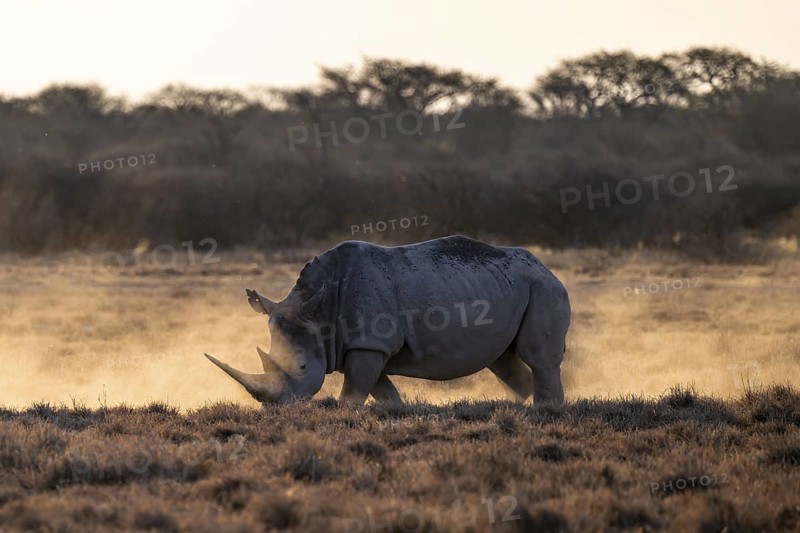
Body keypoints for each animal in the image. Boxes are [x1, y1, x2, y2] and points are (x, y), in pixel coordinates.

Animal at [205, 235, 570, 405]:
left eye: (303, 367)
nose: (277, 408)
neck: (318, 310)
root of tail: (545, 267)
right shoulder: (364, 345)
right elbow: (380, 389)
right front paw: (396, 410)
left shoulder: (369, 343)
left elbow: (355, 390)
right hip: (507, 286)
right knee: (502, 360)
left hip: (543, 289)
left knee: (539, 359)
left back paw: (546, 411)